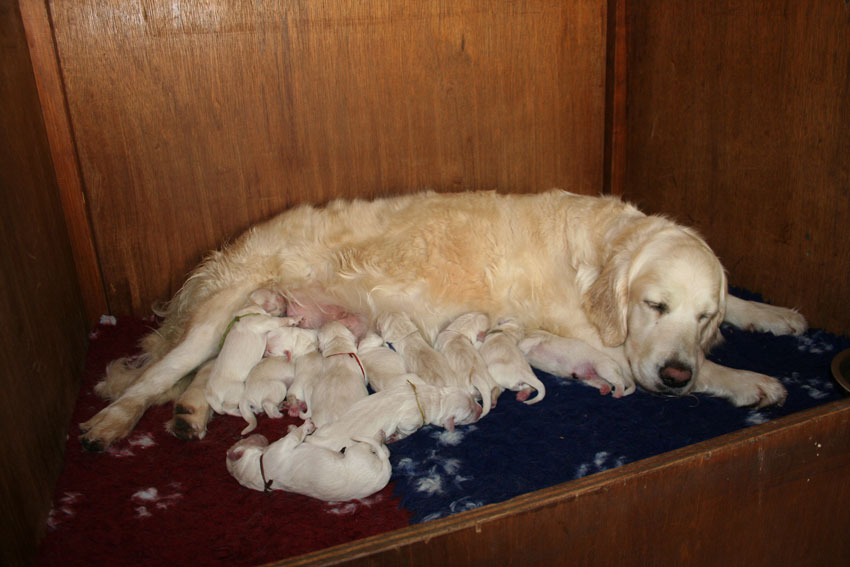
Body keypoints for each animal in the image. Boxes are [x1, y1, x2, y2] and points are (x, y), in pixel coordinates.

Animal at [222, 422, 388, 502]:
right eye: (242, 441)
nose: (258, 434)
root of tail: (384, 475)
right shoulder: (285, 446)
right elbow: (297, 434)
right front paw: (307, 425)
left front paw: (292, 426)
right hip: (356, 452)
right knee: (371, 445)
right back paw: (379, 434)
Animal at [304, 382, 480, 452]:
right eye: (470, 413)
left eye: (472, 399)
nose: (481, 409)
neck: (434, 398)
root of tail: (315, 441)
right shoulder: (409, 422)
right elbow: (405, 431)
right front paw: (395, 437)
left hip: (324, 428)